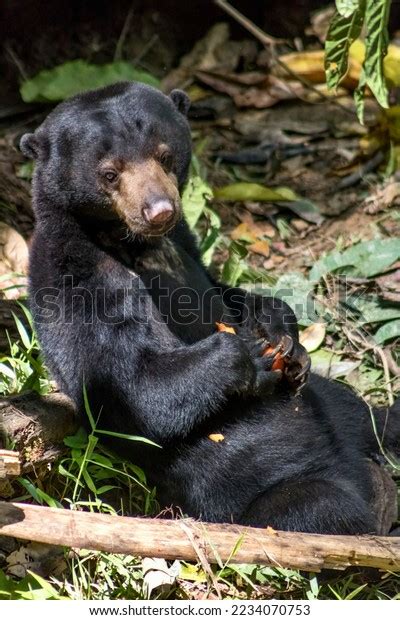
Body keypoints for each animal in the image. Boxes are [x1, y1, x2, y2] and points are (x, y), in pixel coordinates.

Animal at [22, 82, 400, 536]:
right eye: (110, 173)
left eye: (165, 155)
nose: (160, 210)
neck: (137, 245)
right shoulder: (75, 276)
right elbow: (129, 386)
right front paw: (251, 357)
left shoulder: (187, 243)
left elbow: (226, 290)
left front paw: (281, 334)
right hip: (260, 490)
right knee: (318, 505)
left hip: (333, 404)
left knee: (367, 415)